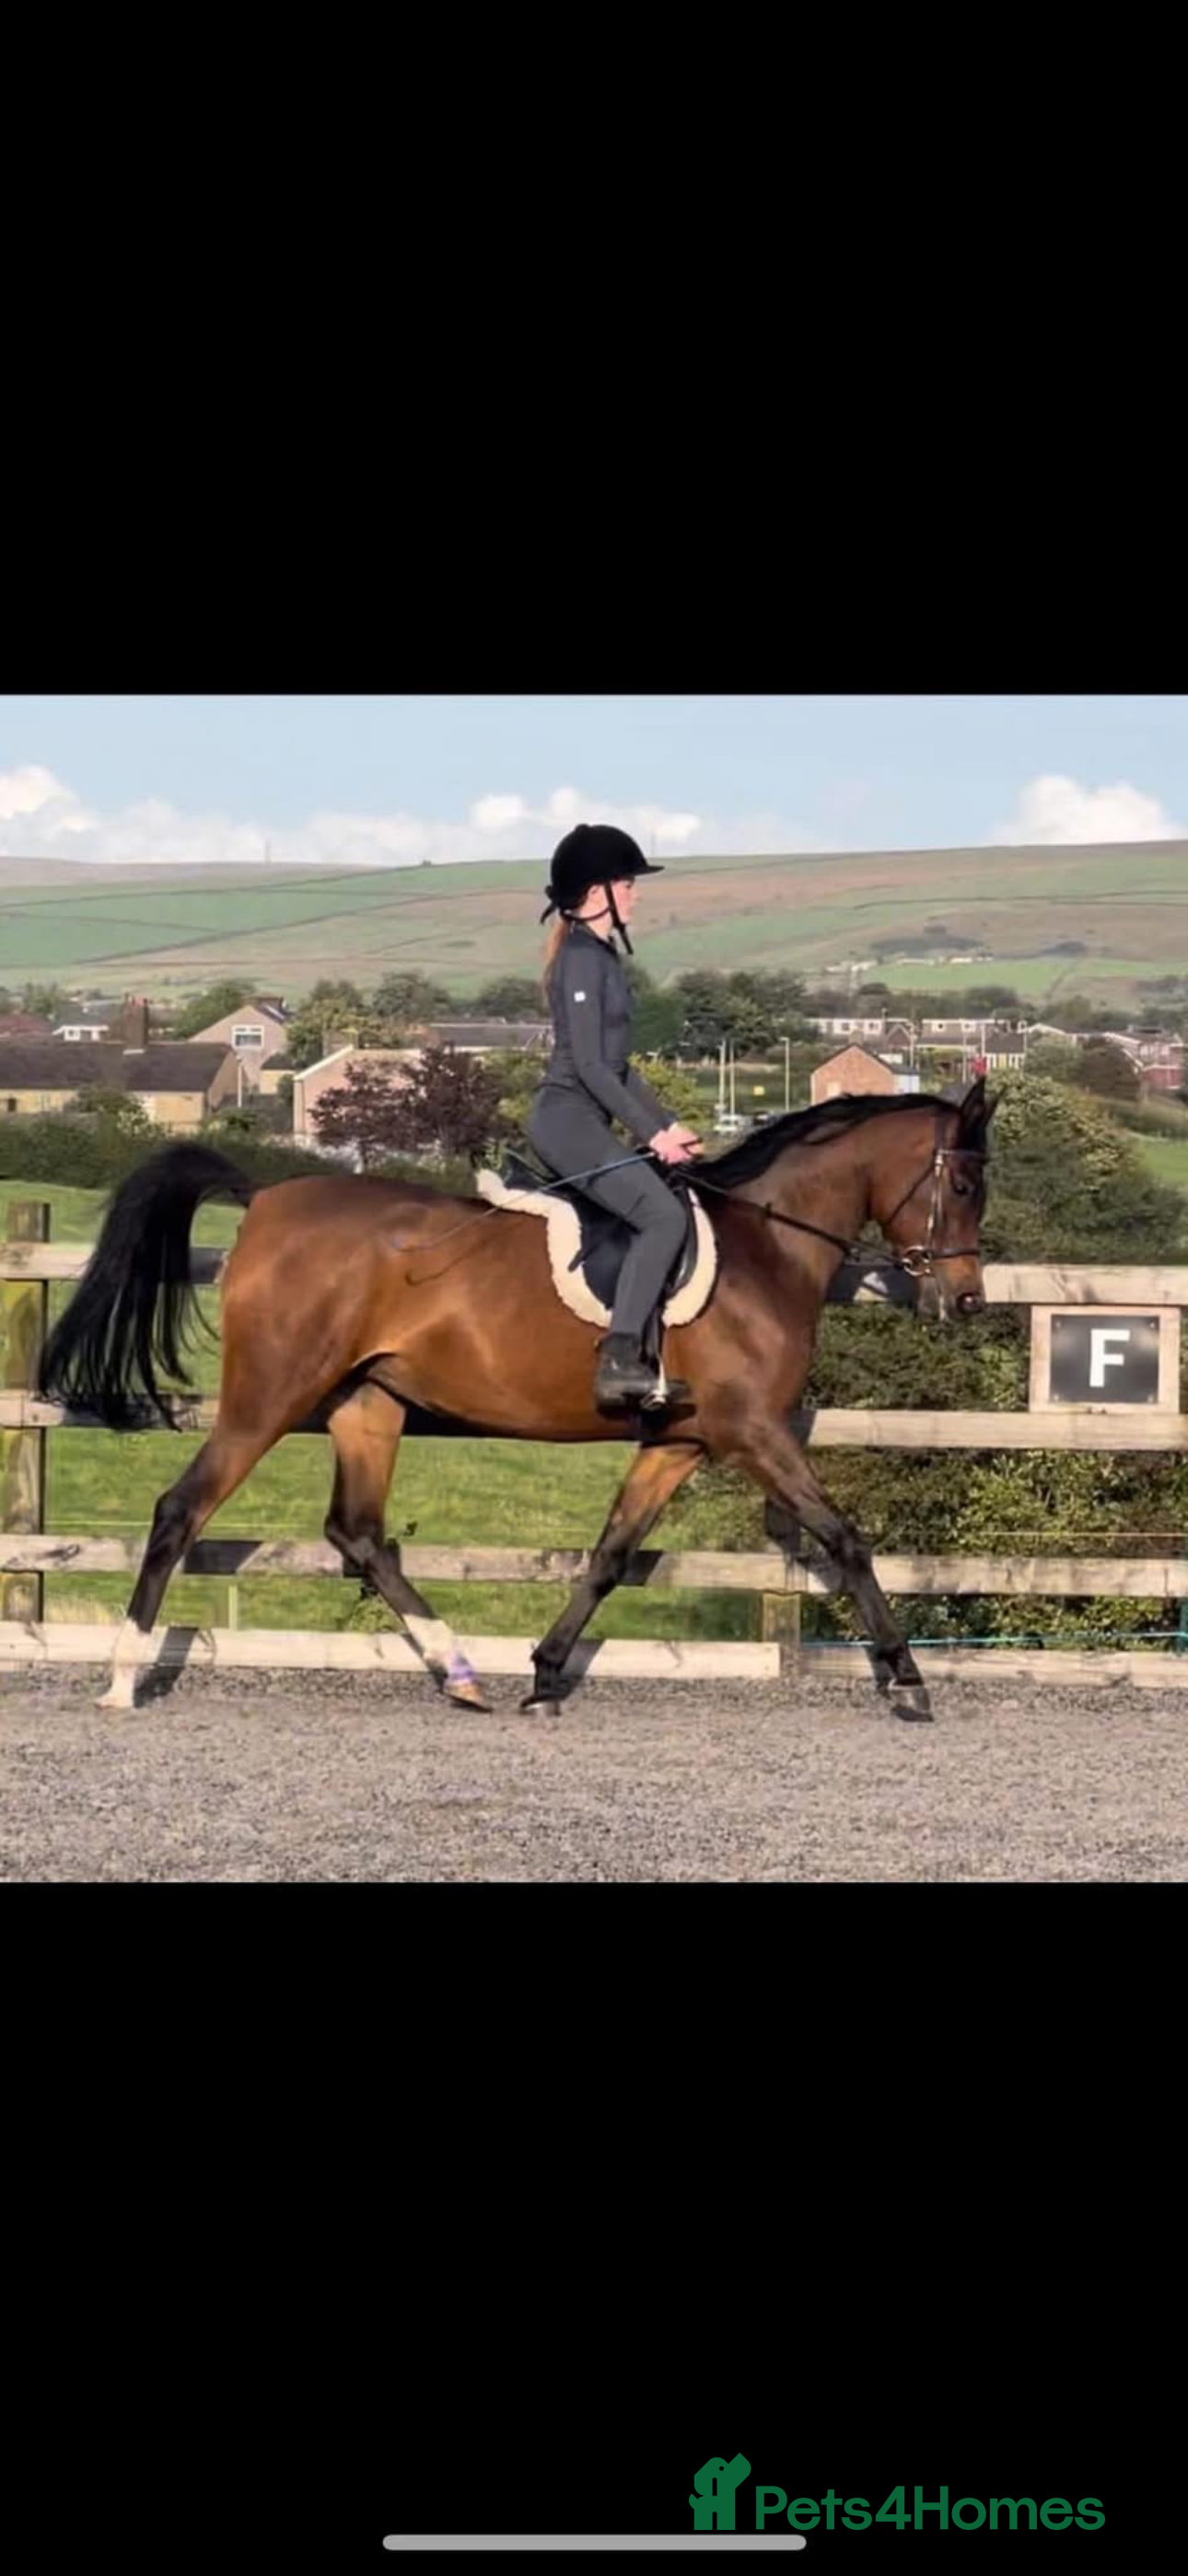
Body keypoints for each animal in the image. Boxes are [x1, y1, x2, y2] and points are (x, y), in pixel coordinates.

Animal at [37, 1078, 996, 1720]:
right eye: (961, 1185)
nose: (967, 1302)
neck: (765, 1246)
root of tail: (267, 1196)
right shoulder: (752, 1431)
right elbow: (847, 1539)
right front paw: (908, 1680)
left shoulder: (679, 1440)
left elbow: (611, 1555)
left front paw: (543, 1673)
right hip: (268, 1397)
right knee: (181, 1508)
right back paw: (123, 1677)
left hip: (367, 1403)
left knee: (357, 1533)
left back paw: (461, 1671)